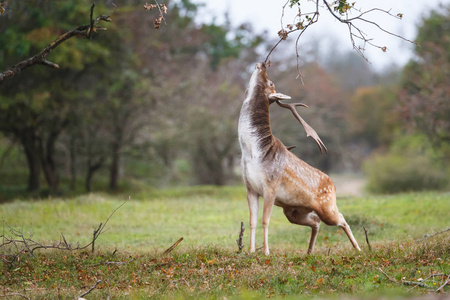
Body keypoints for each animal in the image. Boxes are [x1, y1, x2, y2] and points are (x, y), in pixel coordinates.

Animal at [239, 62, 362, 254]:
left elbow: (265, 221)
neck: (252, 152)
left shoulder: (271, 185)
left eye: (271, 82)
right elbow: (252, 221)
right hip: (295, 212)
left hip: (327, 207)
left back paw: (359, 249)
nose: (263, 64)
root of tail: (333, 185)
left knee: (340, 218)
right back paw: (309, 252)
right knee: (316, 221)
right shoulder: (250, 187)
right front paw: (251, 252)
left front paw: (266, 252)